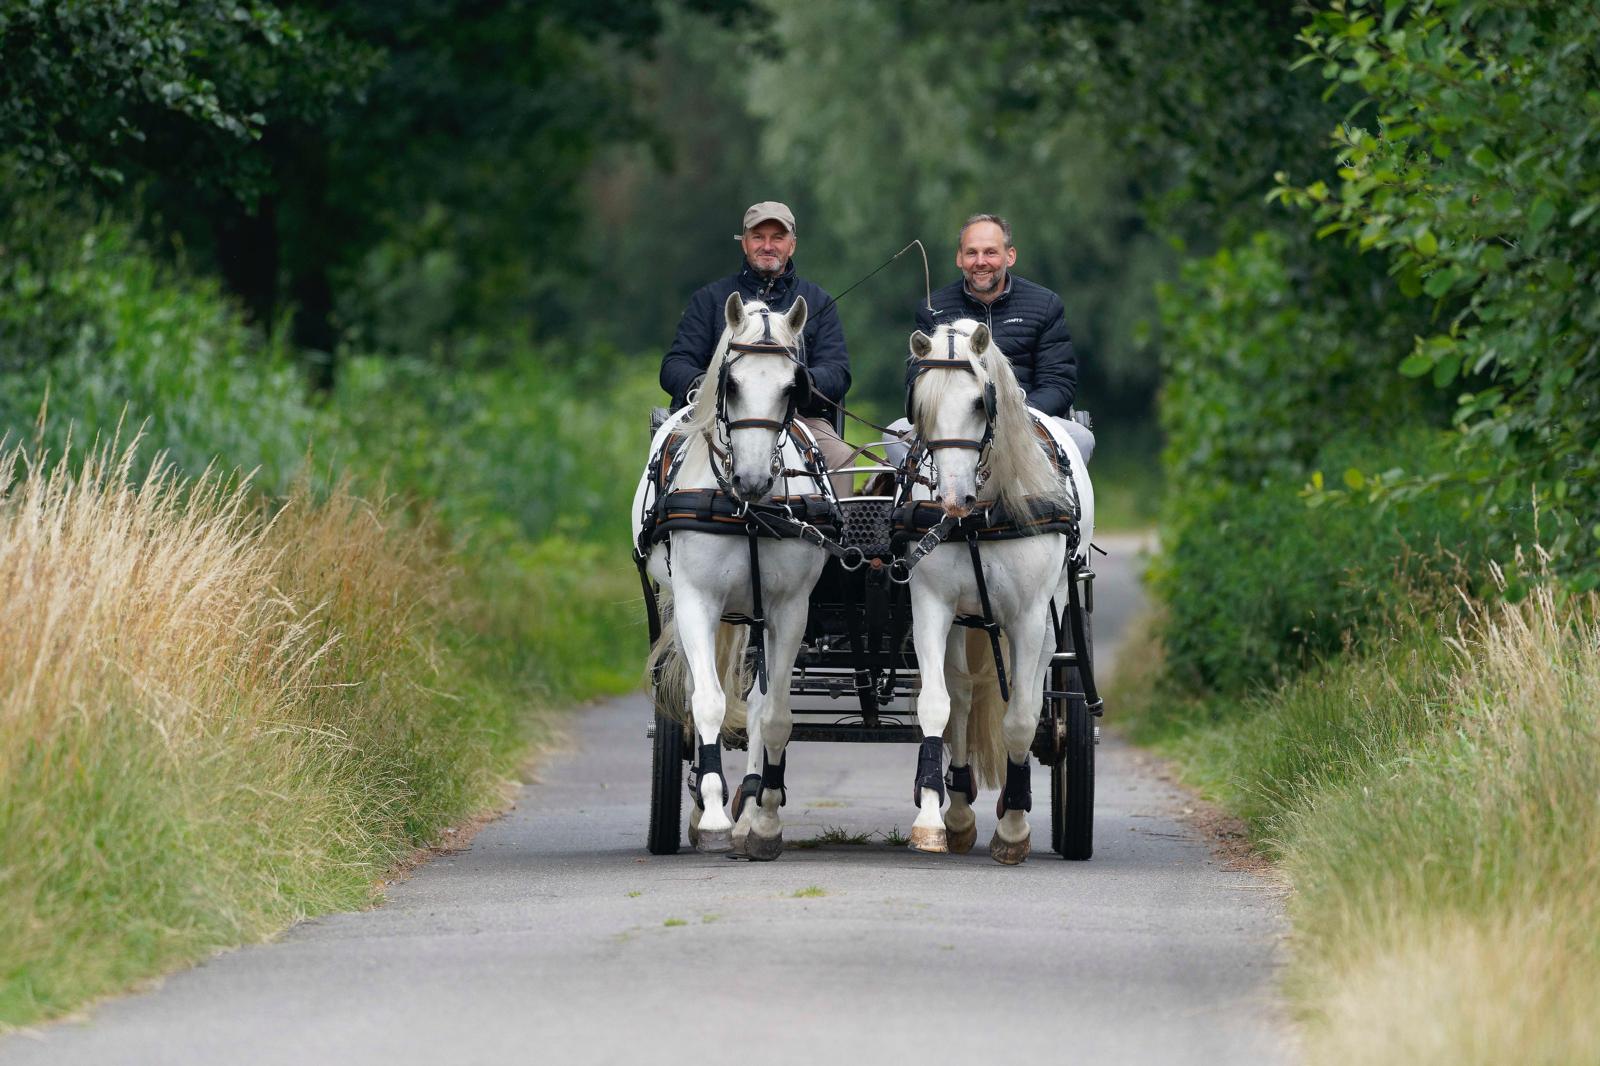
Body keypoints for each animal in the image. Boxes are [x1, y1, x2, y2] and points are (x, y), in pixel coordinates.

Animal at [631, 293, 830, 858]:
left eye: (792, 386)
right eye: (732, 384)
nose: (754, 478)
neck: (747, 510)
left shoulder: (789, 610)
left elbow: (776, 714)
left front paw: (762, 820)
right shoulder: (697, 602)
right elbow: (708, 702)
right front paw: (714, 812)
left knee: (759, 704)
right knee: (697, 692)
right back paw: (706, 808)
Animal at [900, 319, 1094, 864]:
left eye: (978, 403)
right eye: (919, 404)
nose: (951, 499)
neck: (982, 515)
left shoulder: (1028, 618)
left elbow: (1021, 719)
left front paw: (1012, 829)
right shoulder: (932, 608)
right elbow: (938, 706)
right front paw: (932, 821)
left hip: (1052, 613)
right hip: (965, 625)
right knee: (963, 698)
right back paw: (961, 811)